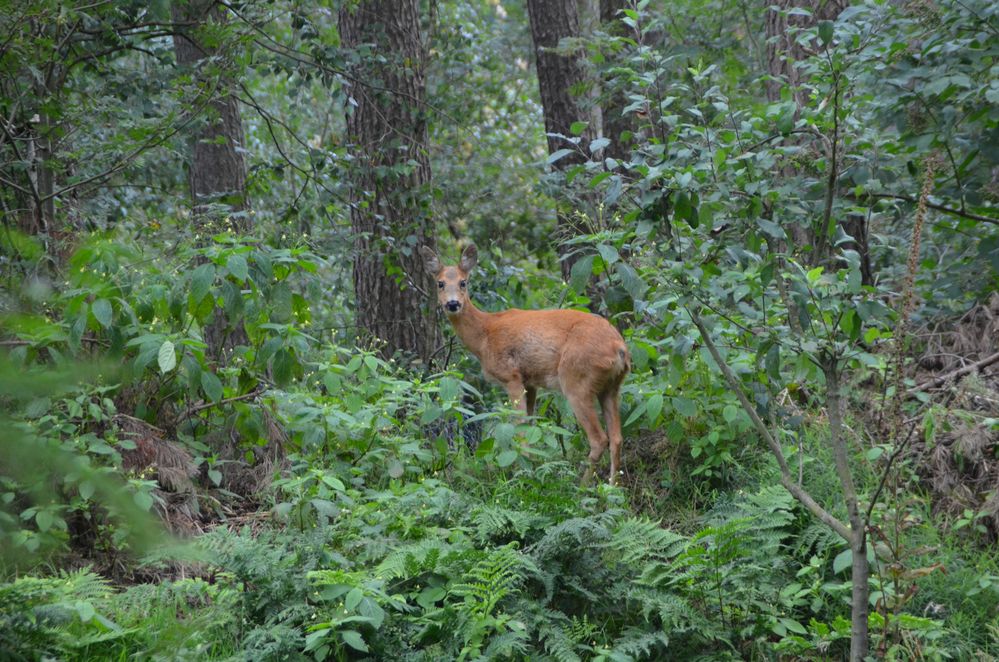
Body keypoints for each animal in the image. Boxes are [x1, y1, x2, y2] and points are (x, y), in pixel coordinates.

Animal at [424, 244, 632, 488]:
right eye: (440, 283)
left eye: (463, 282)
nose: (453, 303)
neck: (484, 334)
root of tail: (620, 348)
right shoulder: (530, 382)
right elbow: (531, 426)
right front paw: (530, 466)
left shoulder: (511, 376)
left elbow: (520, 427)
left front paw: (522, 476)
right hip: (612, 387)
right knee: (617, 438)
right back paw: (611, 489)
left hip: (576, 380)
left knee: (600, 439)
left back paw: (581, 487)